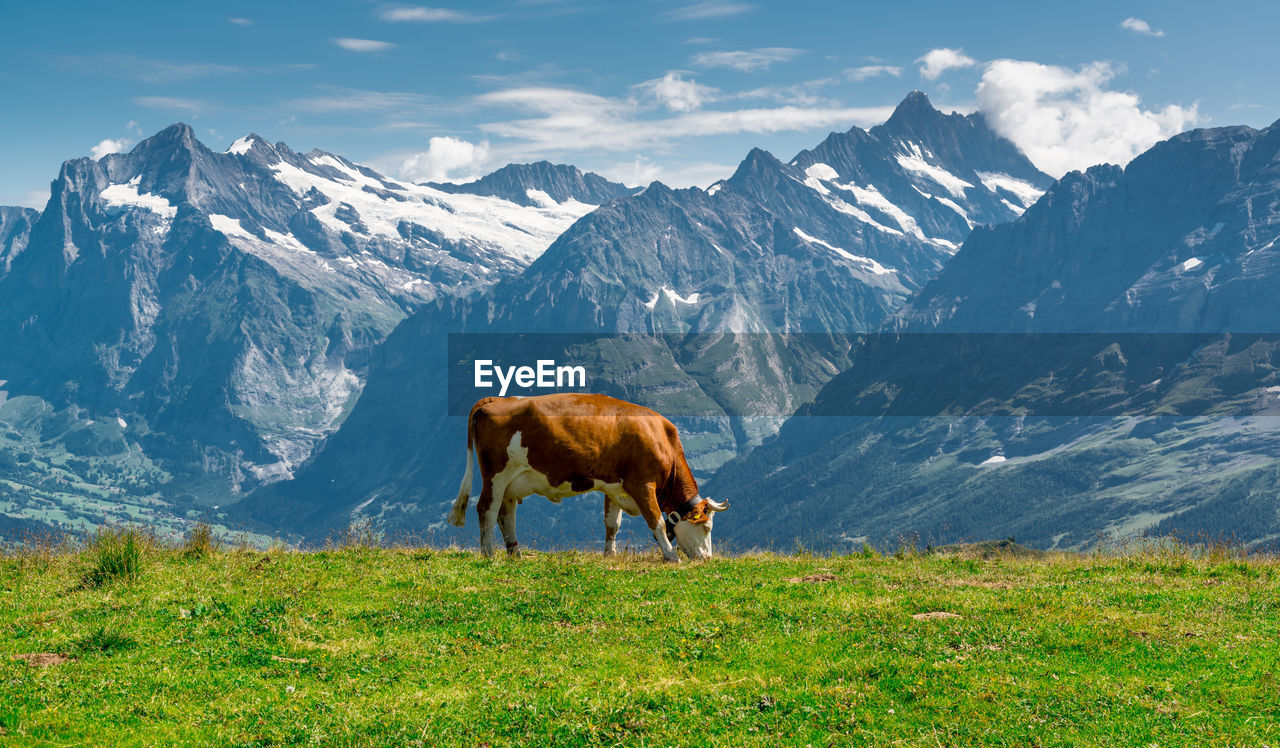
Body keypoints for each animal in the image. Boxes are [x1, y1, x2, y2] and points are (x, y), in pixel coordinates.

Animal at [450, 391, 732, 561]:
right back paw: (489, 554)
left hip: (512, 482)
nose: (708, 559)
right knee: (486, 509)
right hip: (496, 475)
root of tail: (497, 399)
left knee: (505, 514)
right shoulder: (642, 484)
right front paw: (671, 556)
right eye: (706, 527)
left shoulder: (615, 487)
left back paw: (515, 554)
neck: (661, 438)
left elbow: (612, 524)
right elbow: (656, 522)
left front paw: (610, 554)